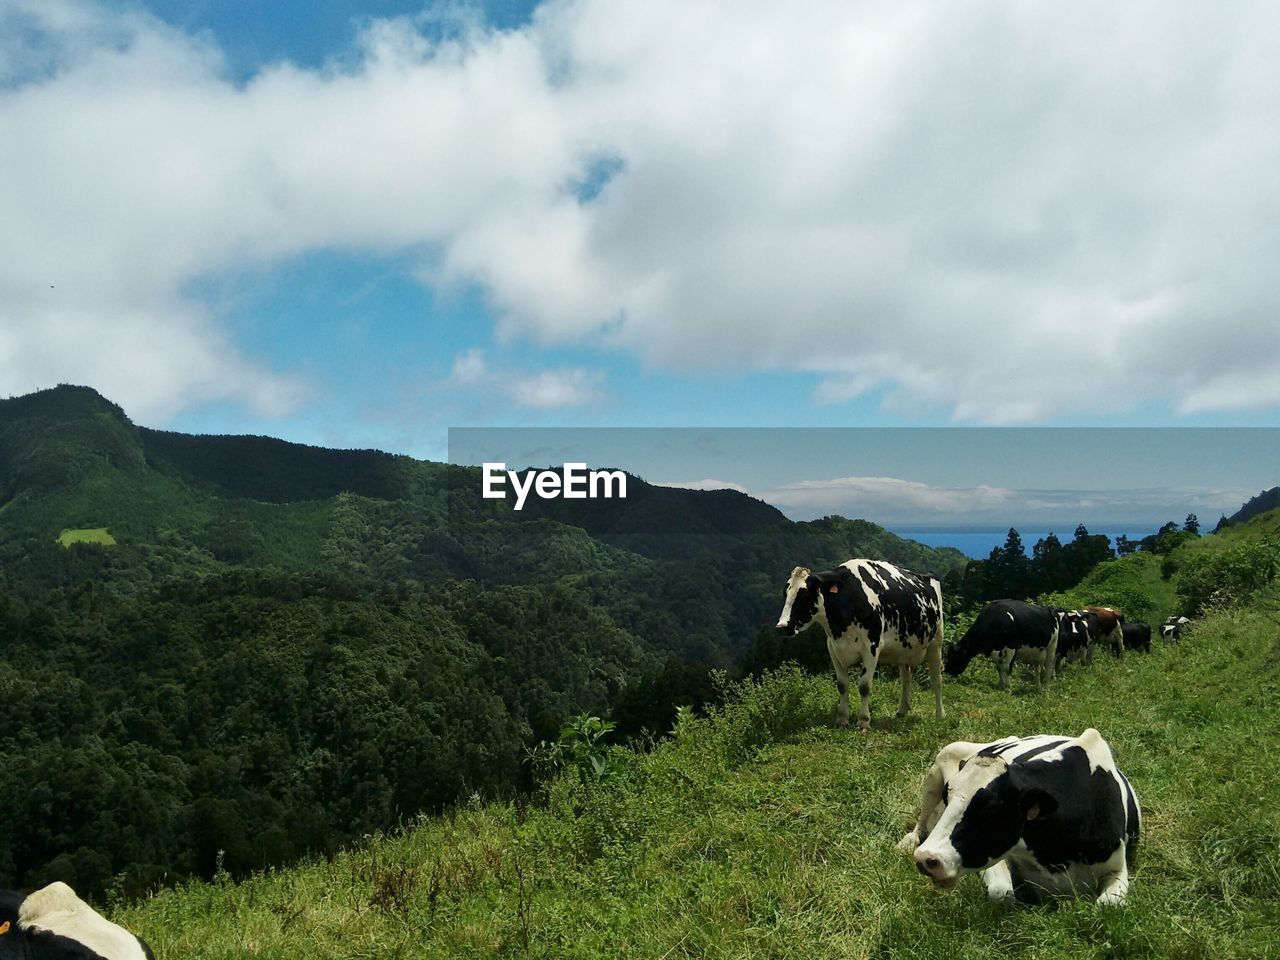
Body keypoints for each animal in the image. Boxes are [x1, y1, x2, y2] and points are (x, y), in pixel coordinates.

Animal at [773, 560, 947, 732]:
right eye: (785, 593)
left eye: (805, 594)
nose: (782, 626)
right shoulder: (833, 649)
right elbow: (842, 685)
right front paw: (842, 719)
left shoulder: (872, 647)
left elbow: (864, 686)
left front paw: (863, 722)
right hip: (904, 650)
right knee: (905, 679)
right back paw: (902, 711)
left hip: (936, 641)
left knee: (936, 680)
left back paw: (940, 715)